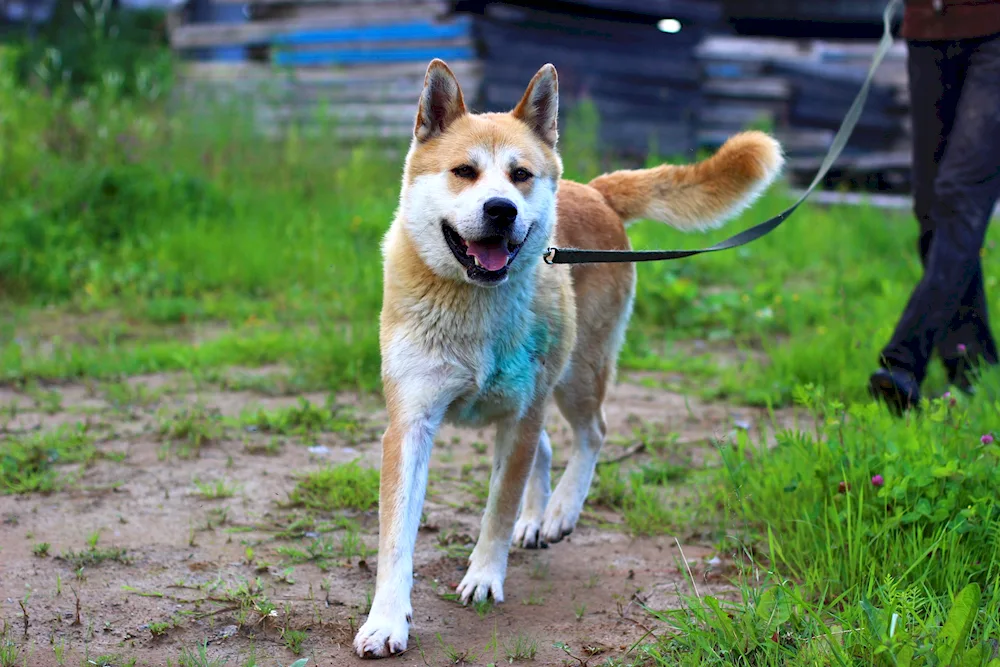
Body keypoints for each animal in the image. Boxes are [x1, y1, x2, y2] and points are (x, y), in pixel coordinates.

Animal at [356, 60, 784, 660]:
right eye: (464, 171)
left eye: (520, 175)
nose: (501, 209)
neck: (477, 303)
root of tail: (597, 191)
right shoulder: (411, 424)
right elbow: (397, 537)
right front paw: (386, 621)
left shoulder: (521, 414)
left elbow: (499, 507)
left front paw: (484, 576)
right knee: (551, 446)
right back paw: (539, 518)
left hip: (576, 375)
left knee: (592, 433)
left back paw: (559, 510)